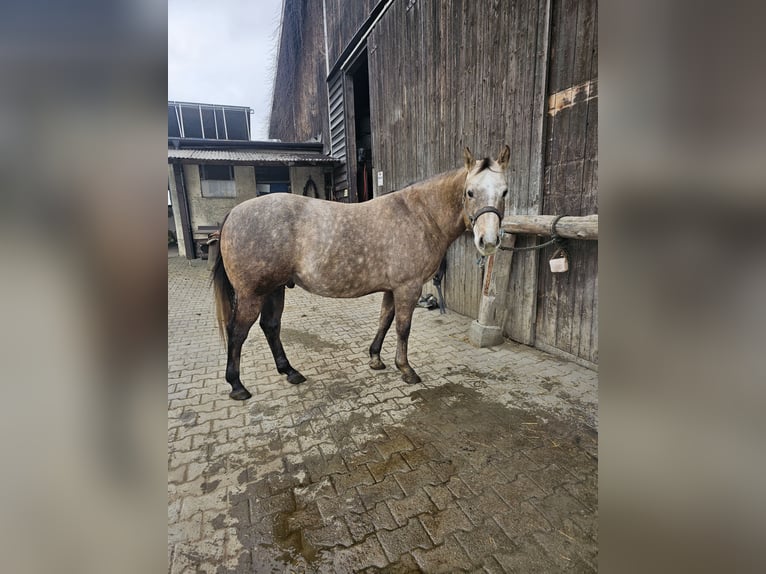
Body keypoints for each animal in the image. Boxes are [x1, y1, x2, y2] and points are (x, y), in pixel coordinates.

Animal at [213, 147, 510, 400]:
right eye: (470, 192)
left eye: (505, 191)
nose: (488, 241)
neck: (420, 215)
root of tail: (234, 214)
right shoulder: (408, 287)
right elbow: (403, 328)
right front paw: (406, 370)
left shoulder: (392, 288)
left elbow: (384, 321)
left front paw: (375, 359)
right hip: (252, 294)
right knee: (237, 332)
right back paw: (237, 386)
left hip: (274, 289)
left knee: (271, 327)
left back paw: (290, 372)